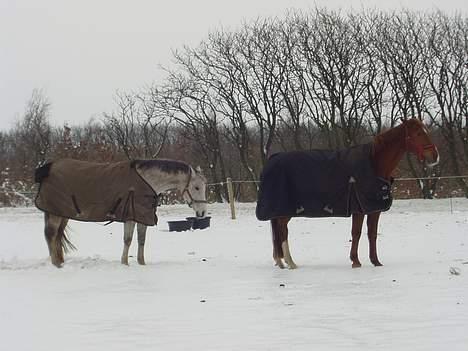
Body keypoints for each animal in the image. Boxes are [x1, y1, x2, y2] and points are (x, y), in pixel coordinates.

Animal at [266, 118, 438, 270]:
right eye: (418, 134)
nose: (435, 156)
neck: (373, 164)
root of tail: (272, 160)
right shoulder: (359, 209)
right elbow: (356, 233)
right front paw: (355, 261)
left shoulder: (374, 210)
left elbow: (372, 234)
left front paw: (376, 262)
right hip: (285, 211)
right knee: (282, 231)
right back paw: (290, 262)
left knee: (279, 231)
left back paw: (281, 261)